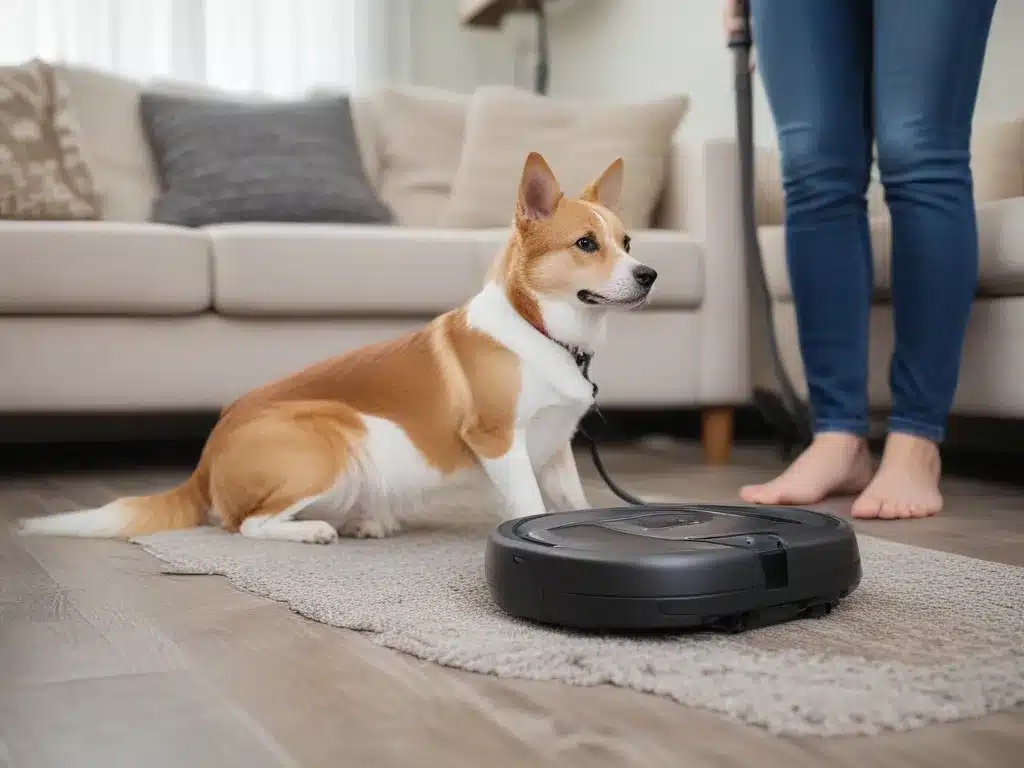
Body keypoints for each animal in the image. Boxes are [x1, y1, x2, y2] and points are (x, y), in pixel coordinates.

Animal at [18, 153, 655, 544]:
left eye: (627, 242)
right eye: (586, 244)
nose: (649, 274)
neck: (544, 330)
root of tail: (205, 458)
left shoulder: (555, 449)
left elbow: (573, 504)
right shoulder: (499, 442)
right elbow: (528, 507)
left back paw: (366, 522)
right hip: (333, 441)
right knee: (245, 525)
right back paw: (312, 530)